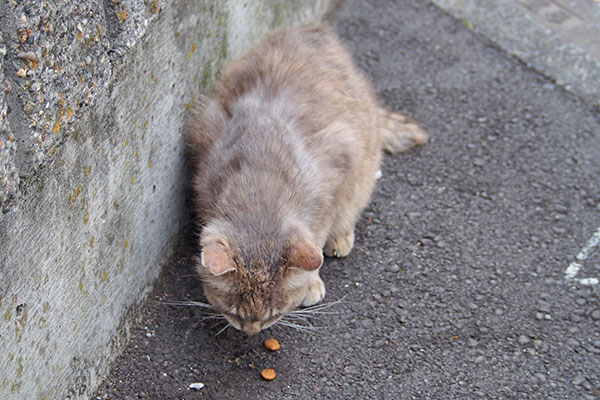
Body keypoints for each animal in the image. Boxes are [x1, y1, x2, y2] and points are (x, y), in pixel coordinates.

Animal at [188, 22, 426, 334]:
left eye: (274, 314)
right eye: (233, 311)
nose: (252, 331)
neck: (261, 186)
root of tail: (314, 28)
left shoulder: (336, 179)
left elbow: (318, 237)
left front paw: (310, 281)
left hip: (363, 169)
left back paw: (342, 237)